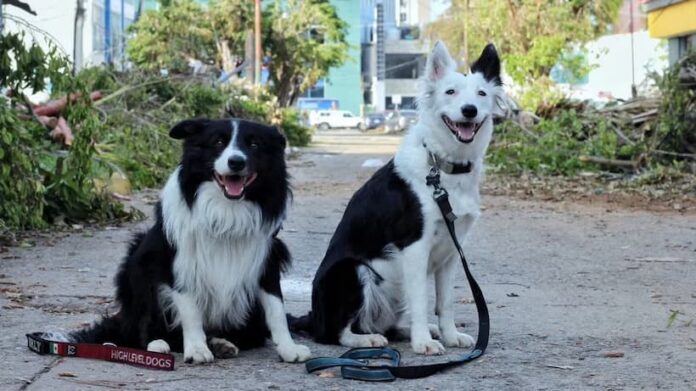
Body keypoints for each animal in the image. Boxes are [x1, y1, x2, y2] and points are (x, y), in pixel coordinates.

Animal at [70, 118, 310, 364]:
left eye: (254, 144)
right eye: (218, 142)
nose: (236, 162)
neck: (226, 210)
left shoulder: (267, 259)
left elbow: (276, 308)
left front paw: (288, 348)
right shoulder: (178, 262)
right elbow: (190, 311)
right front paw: (196, 348)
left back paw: (221, 343)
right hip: (138, 261)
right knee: (143, 320)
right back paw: (156, 344)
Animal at [290, 42, 502, 356]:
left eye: (481, 94)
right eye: (450, 92)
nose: (469, 111)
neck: (442, 165)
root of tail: (313, 317)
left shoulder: (451, 254)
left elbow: (446, 302)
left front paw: (449, 336)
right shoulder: (415, 248)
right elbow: (422, 301)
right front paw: (423, 342)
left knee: (380, 324)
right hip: (352, 271)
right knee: (335, 333)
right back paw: (367, 340)